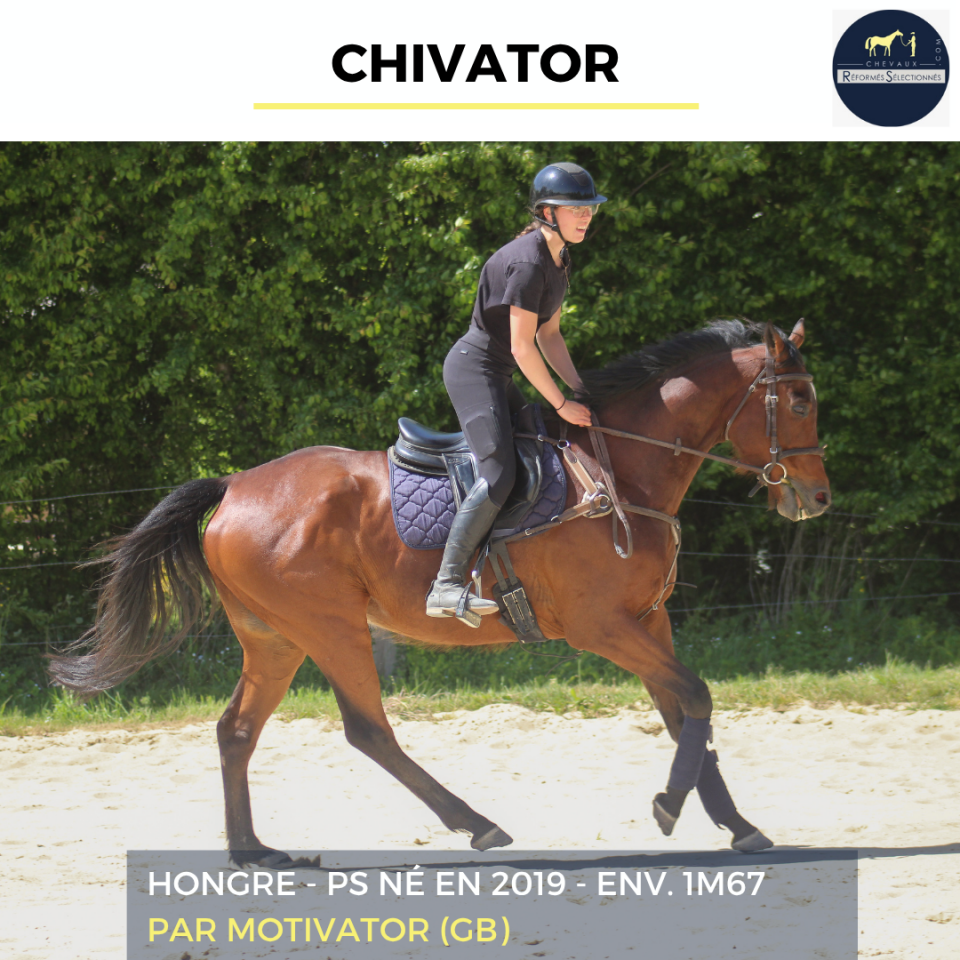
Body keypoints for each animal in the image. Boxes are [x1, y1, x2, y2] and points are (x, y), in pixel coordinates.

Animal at [49, 319, 830, 867]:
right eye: (797, 399)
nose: (817, 498)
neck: (623, 471)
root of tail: (235, 484)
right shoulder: (602, 626)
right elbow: (694, 696)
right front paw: (671, 805)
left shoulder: (649, 619)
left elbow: (683, 713)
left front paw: (736, 824)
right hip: (330, 628)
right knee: (368, 730)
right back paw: (476, 824)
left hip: (273, 639)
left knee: (237, 730)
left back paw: (253, 852)